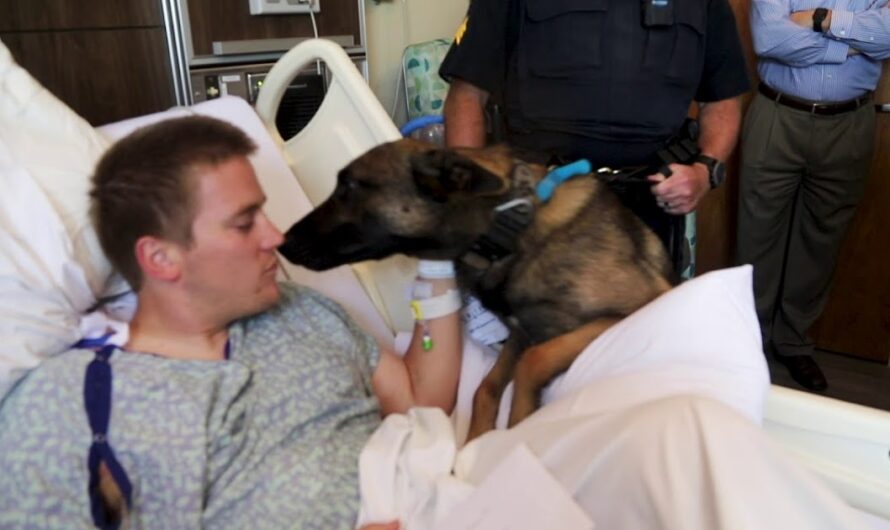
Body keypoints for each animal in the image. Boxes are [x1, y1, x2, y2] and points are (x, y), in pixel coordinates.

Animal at [280, 138, 672, 440]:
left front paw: (515, 432)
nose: (282, 243)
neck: (511, 228)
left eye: (348, 188)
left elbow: (534, 361)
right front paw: (476, 442)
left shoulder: (640, 307)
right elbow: (485, 388)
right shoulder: (520, 332)